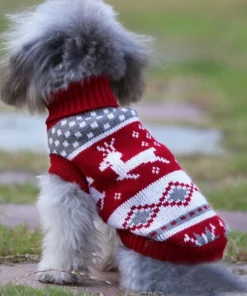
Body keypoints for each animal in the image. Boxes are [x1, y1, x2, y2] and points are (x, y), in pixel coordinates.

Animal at [0, 1, 247, 294]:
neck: (86, 100)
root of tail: (200, 269)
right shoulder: (106, 200)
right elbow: (107, 231)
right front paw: (105, 263)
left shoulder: (68, 183)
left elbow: (66, 235)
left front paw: (55, 273)